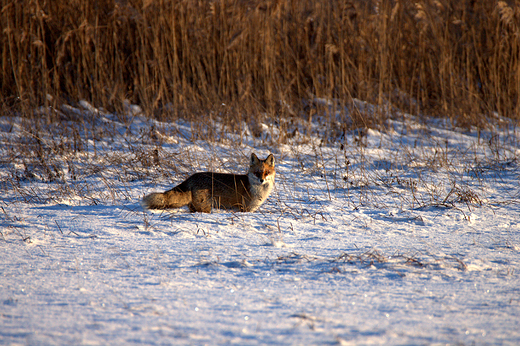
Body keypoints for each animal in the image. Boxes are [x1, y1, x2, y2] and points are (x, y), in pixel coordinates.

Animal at [140, 153, 274, 212]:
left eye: (266, 172)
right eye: (257, 173)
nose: (261, 180)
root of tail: (192, 177)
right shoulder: (244, 209)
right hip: (205, 207)